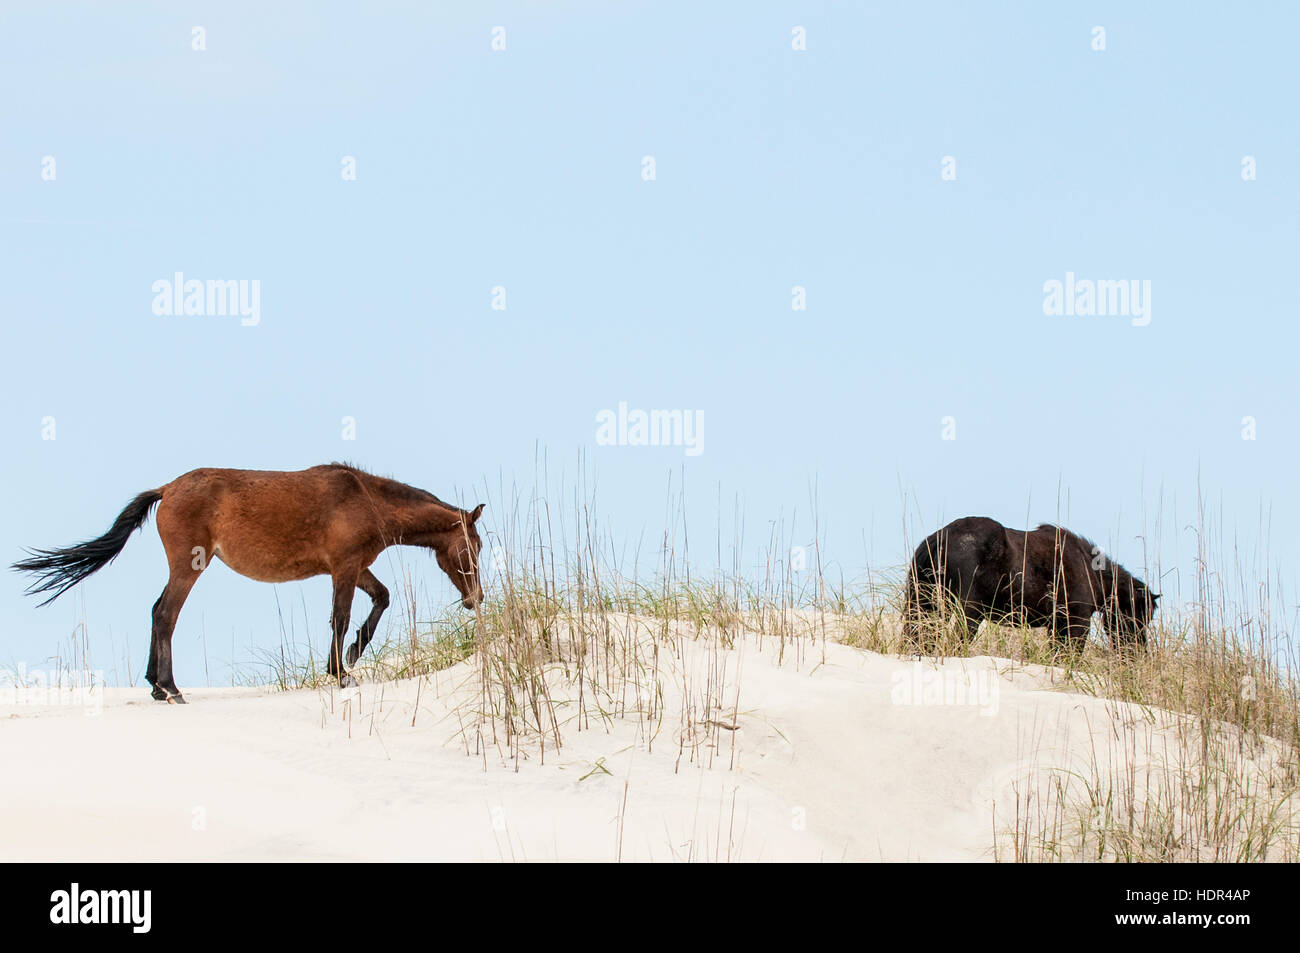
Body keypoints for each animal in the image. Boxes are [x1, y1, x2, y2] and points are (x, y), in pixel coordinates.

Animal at [13, 465, 483, 702]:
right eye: (474, 546)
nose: (476, 598)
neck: (364, 498)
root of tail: (167, 489)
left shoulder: (352, 568)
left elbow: (380, 600)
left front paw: (350, 656)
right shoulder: (345, 568)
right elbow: (341, 617)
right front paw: (341, 672)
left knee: (156, 612)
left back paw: (155, 685)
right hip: (189, 567)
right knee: (165, 614)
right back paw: (169, 688)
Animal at [904, 517, 1159, 650]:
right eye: (1138, 615)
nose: (1137, 651)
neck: (1089, 569)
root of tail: (940, 538)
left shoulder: (1057, 626)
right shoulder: (1076, 624)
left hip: (923, 604)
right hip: (968, 612)